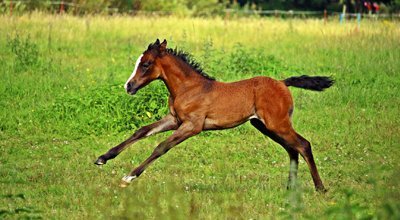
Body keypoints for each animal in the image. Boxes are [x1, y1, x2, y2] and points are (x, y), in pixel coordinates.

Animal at [95, 38, 332, 191]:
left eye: (145, 64)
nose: (128, 86)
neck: (188, 88)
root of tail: (282, 83)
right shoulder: (174, 120)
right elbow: (141, 131)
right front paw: (102, 158)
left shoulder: (192, 126)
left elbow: (161, 146)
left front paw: (129, 176)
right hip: (265, 126)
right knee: (292, 149)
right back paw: (290, 188)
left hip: (277, 124)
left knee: (303, 145)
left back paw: (320, 188)